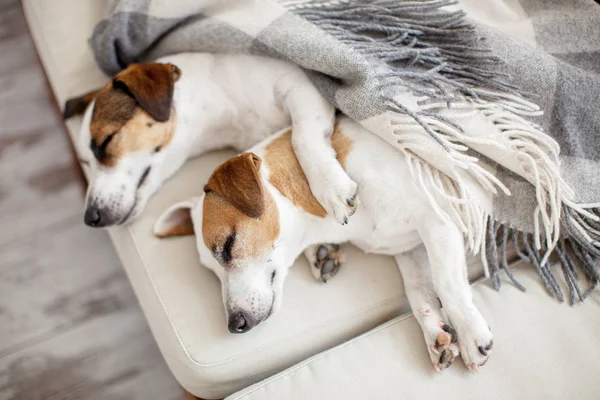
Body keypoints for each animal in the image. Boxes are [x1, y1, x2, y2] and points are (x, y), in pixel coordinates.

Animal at [64, 52, 356, 282]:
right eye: (85, 163)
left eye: (105, 141)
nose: (90, 217)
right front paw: (317, 249)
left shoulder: (300, 87)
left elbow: (301, 138)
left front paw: (330, 187)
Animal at [155, 115, 496, 372]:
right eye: (210, 270)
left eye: (227, 245)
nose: (234, 324)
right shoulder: (410, 250)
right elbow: (418, 290)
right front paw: (436, 333)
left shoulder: (439, 221)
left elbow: (447, 284)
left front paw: (469, 334)